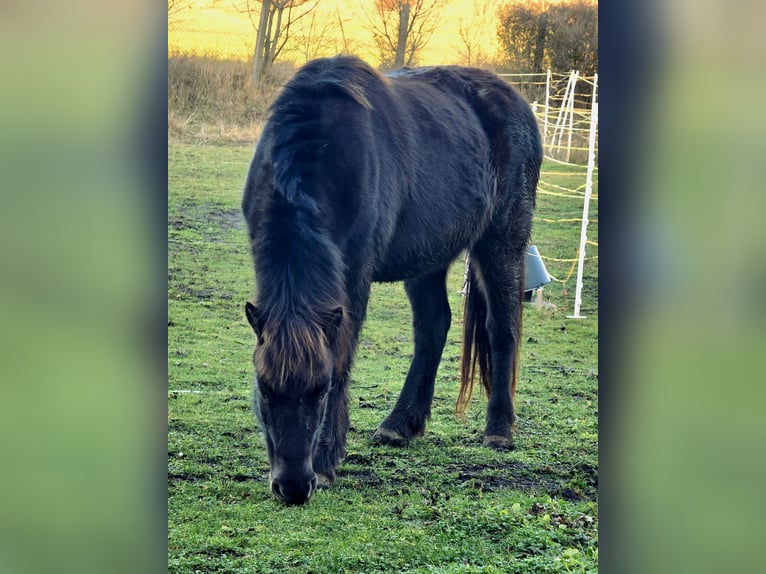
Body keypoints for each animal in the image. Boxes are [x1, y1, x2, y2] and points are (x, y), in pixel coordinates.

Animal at [242, 56, 541, 505]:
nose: (294, 487)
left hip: (502, 243)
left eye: (321, 390)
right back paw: (400, 424)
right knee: (433, 327)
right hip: (429, 259)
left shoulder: (355, 275)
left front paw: (327, 460)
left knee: (501, 328)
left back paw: (499, 431)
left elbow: (343, 357)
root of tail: (516, 100)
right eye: (263, 389)